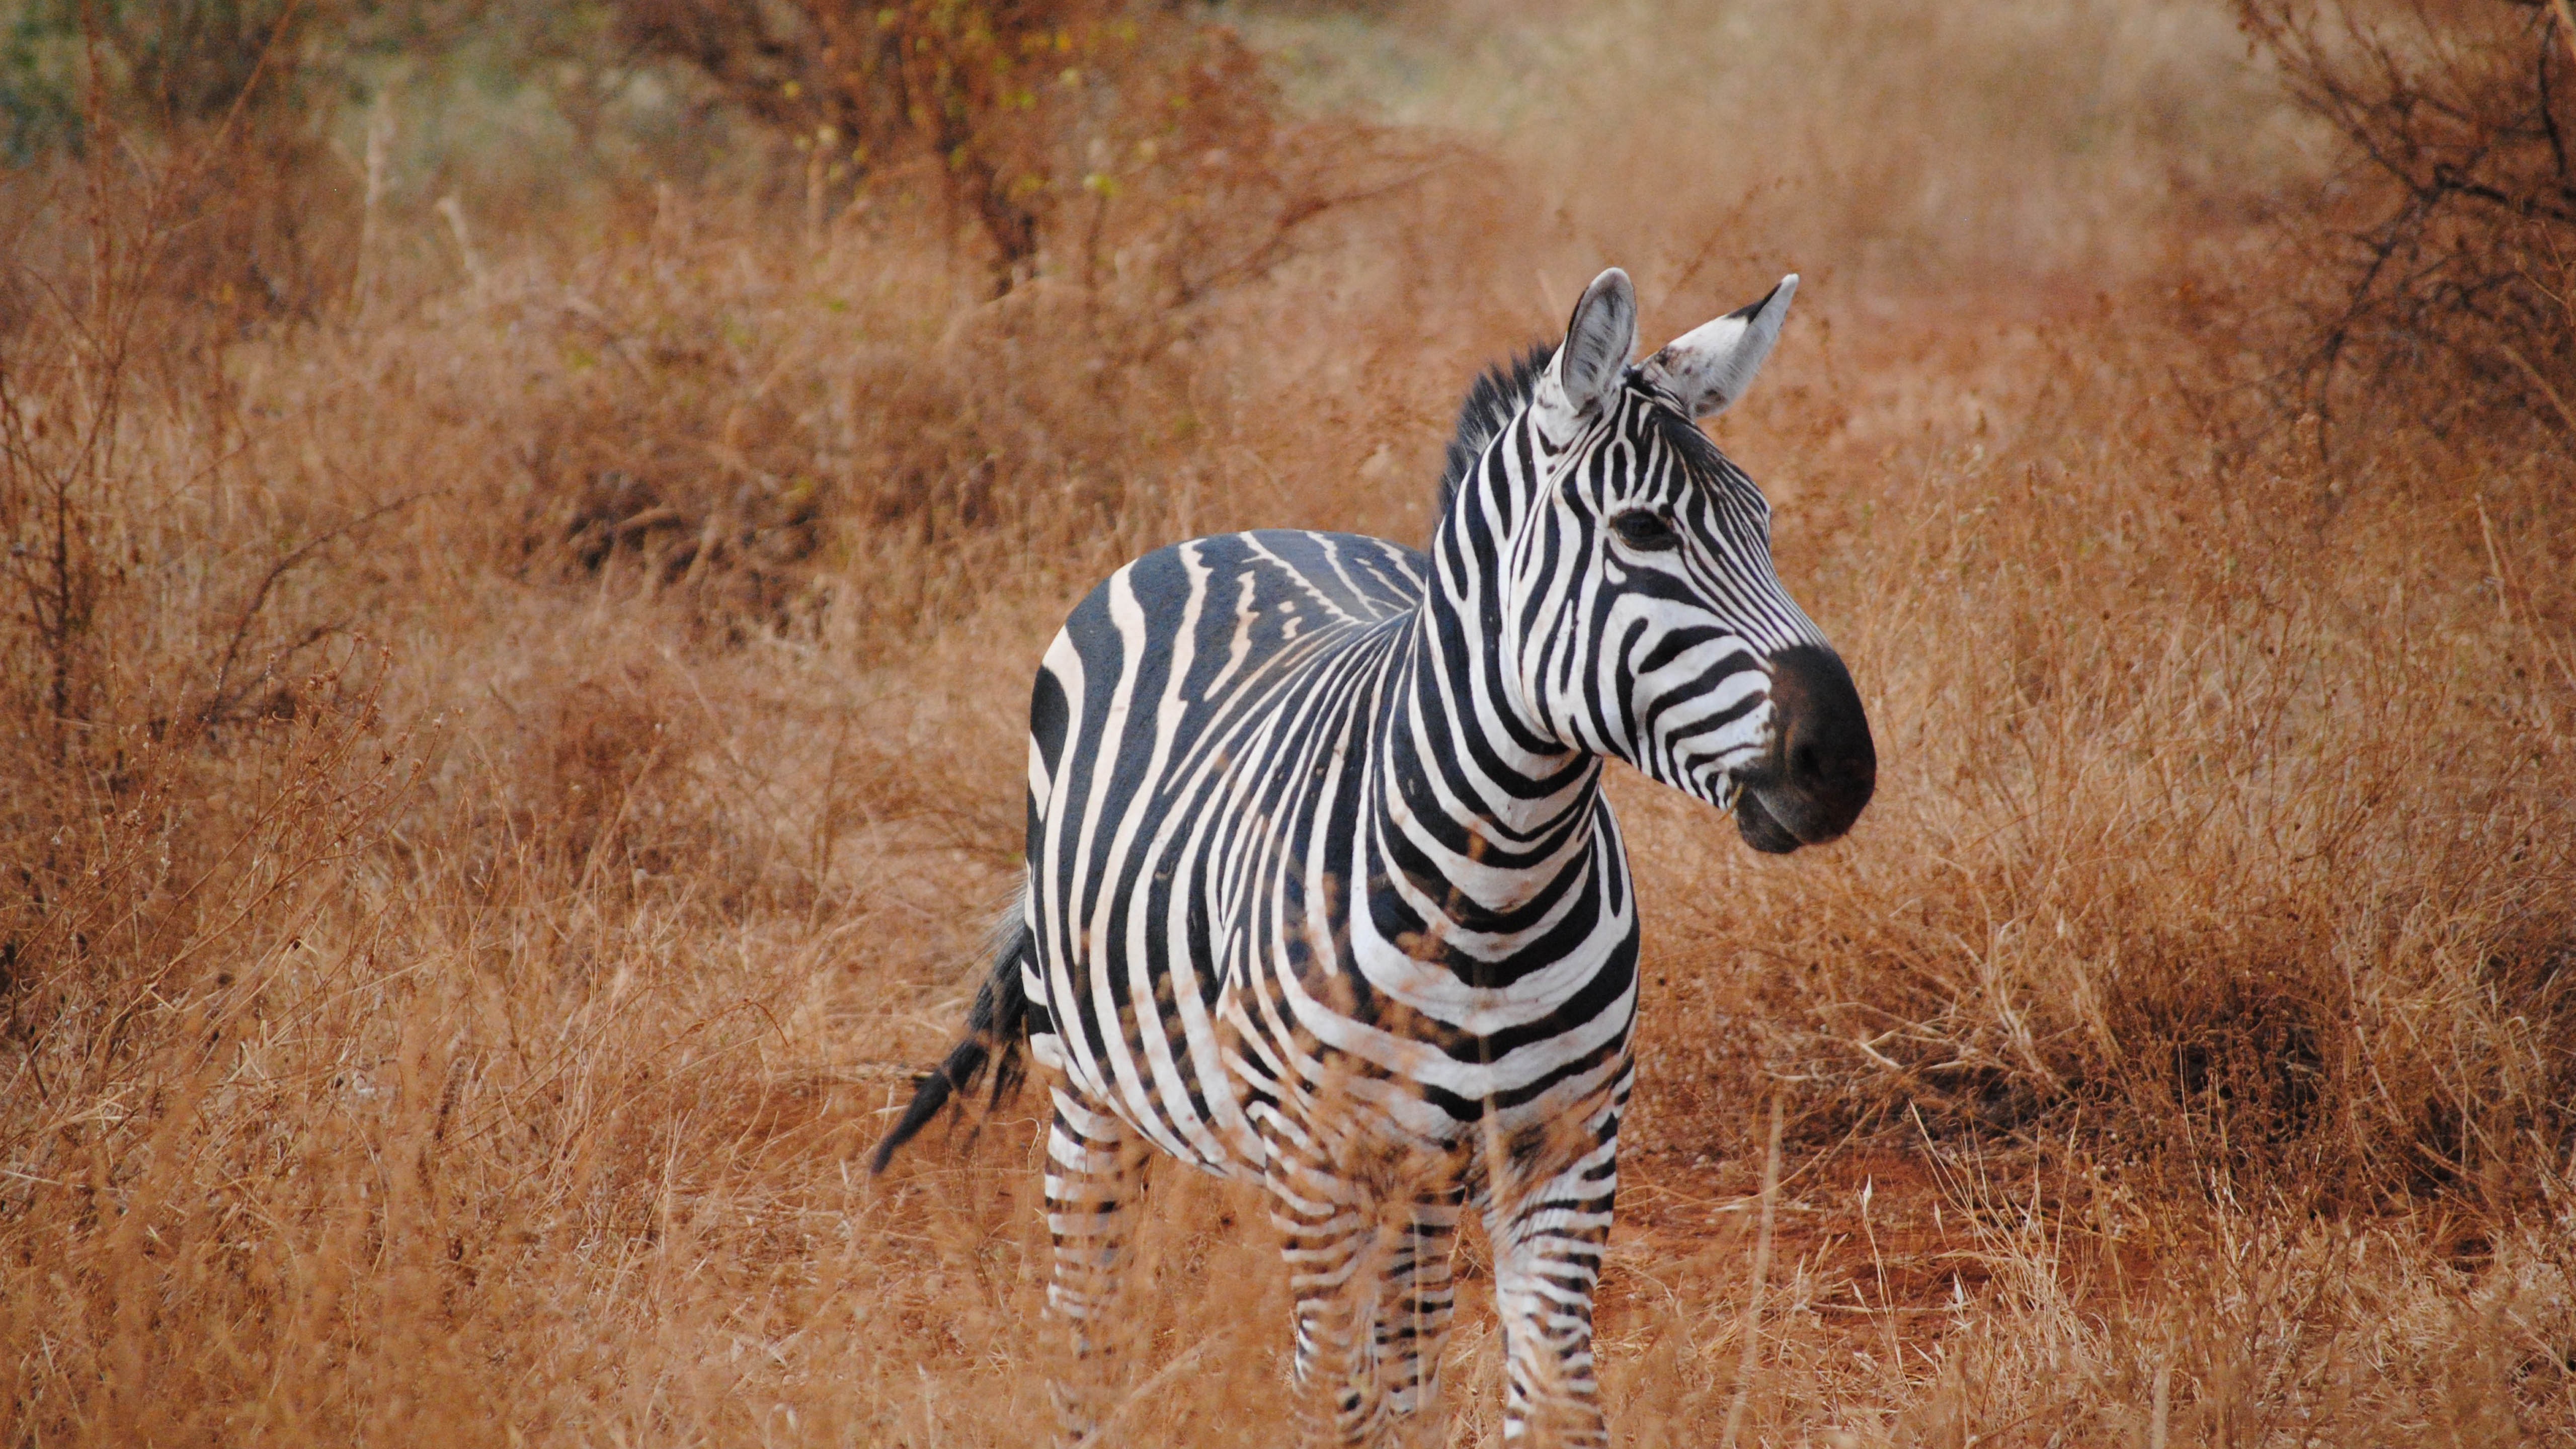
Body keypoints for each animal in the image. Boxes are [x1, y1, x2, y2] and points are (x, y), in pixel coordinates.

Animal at [870, 268, 1875, 1433]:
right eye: (1642, 531)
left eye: (1765, 525)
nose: (1844, 761)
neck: (1497, 887)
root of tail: (1238, 533)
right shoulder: (1319, 1168)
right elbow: (1329, 1404)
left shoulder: (1566, 1148)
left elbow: (1551, 1401)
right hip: (1091, 1081)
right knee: (1088, 1304)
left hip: (1423, 1174)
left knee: (1410, 1356)